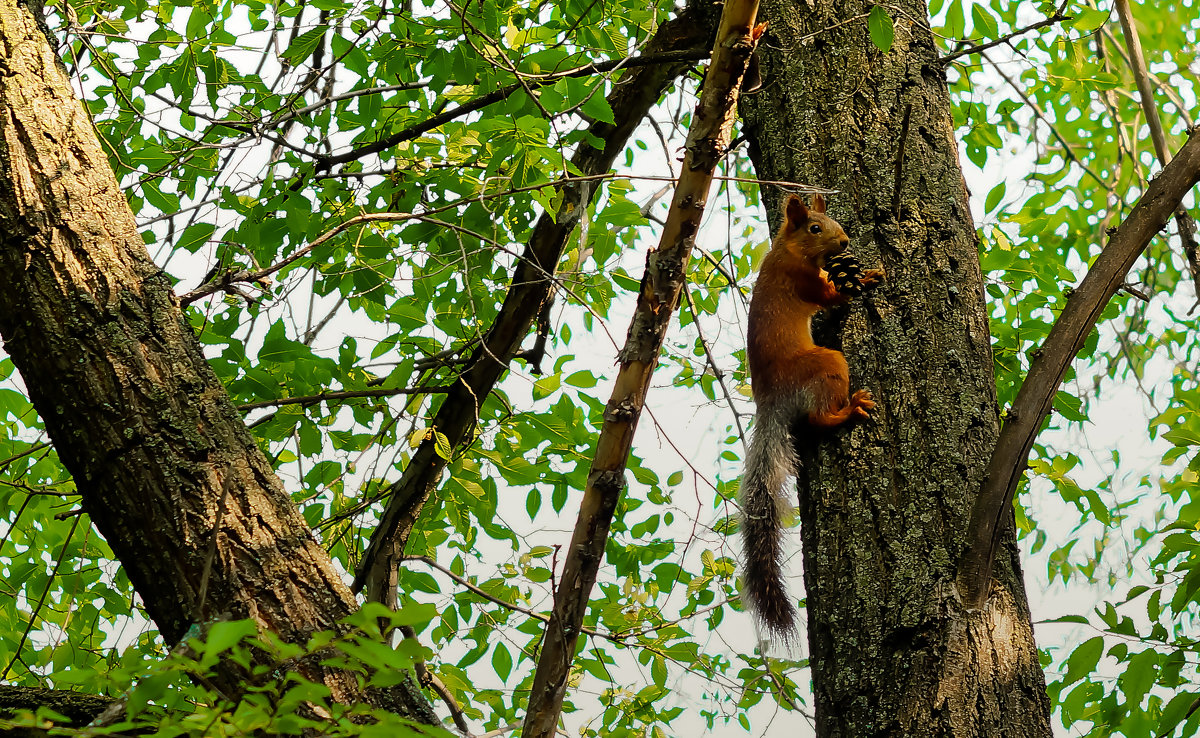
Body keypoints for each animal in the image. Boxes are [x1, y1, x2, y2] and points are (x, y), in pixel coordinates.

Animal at [739, 194, 883, 643]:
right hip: (827, 363)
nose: (846, 242)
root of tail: (771, 400)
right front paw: (867, 278)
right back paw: (850, 409)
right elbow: (831, 297)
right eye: (815, 228)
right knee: (819, 419)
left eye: (833, 219)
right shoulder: (804, 281)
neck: (788, 250)